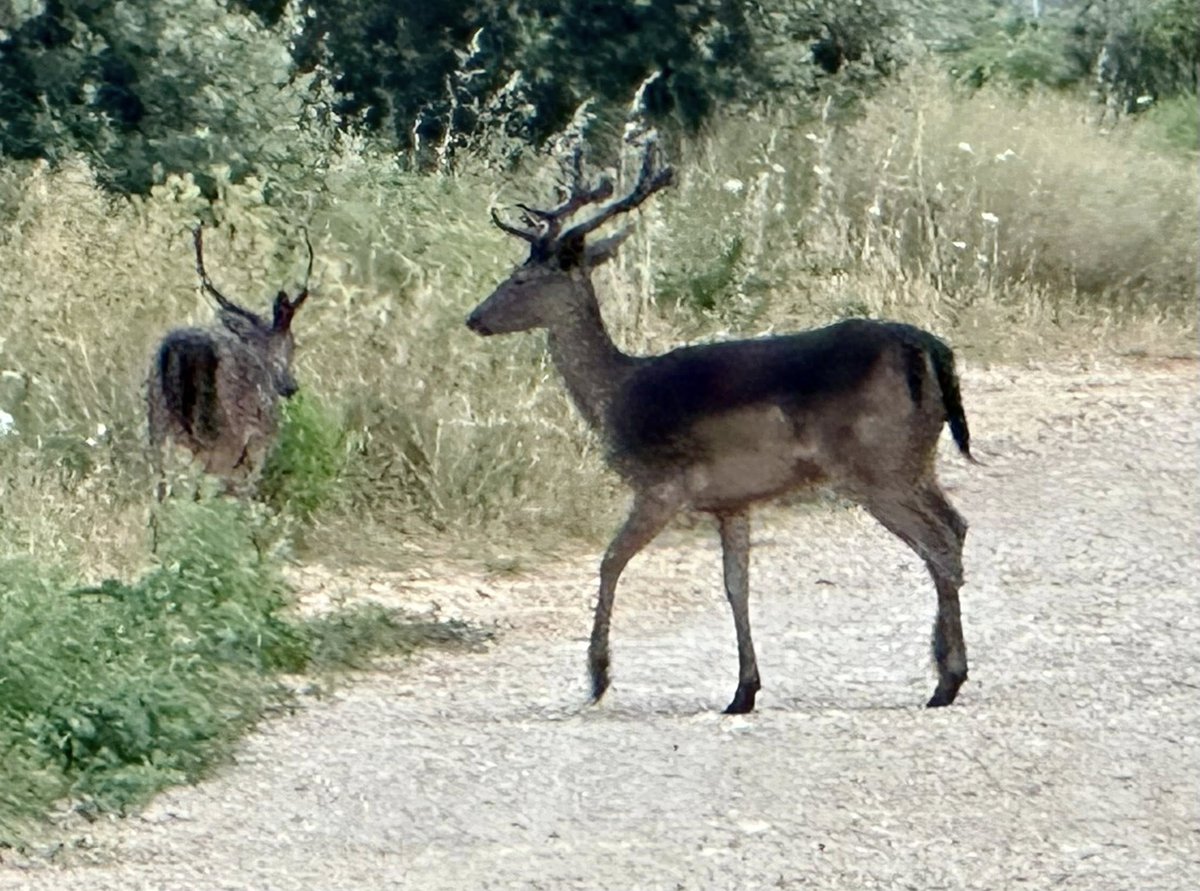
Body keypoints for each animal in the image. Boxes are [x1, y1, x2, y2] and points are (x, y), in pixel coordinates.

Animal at [466, 142, 978, 714]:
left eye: (520, 279)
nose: (475, 318)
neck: (615, 396)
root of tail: (928, 348)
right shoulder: (733, 500)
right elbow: (737, 584)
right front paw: (743, 690)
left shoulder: (663, 484)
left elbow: (609, 562)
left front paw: (598, 678)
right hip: (914, 457)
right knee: (956, 527)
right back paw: (946, 669)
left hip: (874, 464)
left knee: (938, 542)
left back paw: (947, 680)